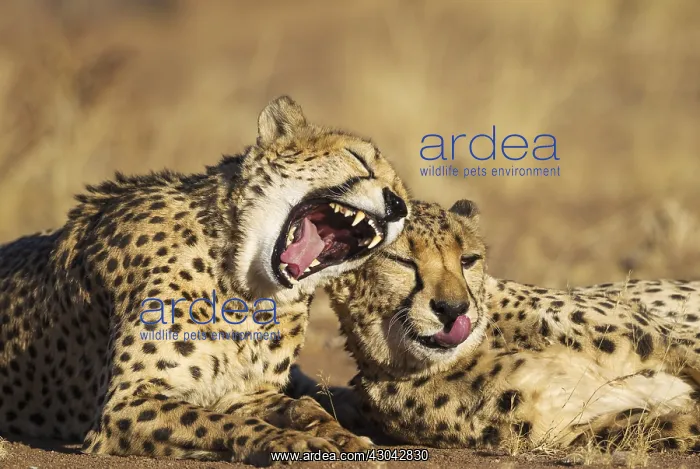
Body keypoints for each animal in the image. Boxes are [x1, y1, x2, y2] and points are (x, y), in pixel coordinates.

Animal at [0, 95, 411, 465]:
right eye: (358, 158)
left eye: (403, 195)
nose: (398, 207)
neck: (245, 286)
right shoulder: (125, 403)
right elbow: (217, 422)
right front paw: (291, 442)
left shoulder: (245, 393)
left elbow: (302, 407)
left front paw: (339, 434)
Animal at [286, 199, 700, 454]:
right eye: (402, 261)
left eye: (468, 259)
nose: (453, 309)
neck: (481, 348)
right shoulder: (575, 427)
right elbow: (676, 425)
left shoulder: (669, 340)